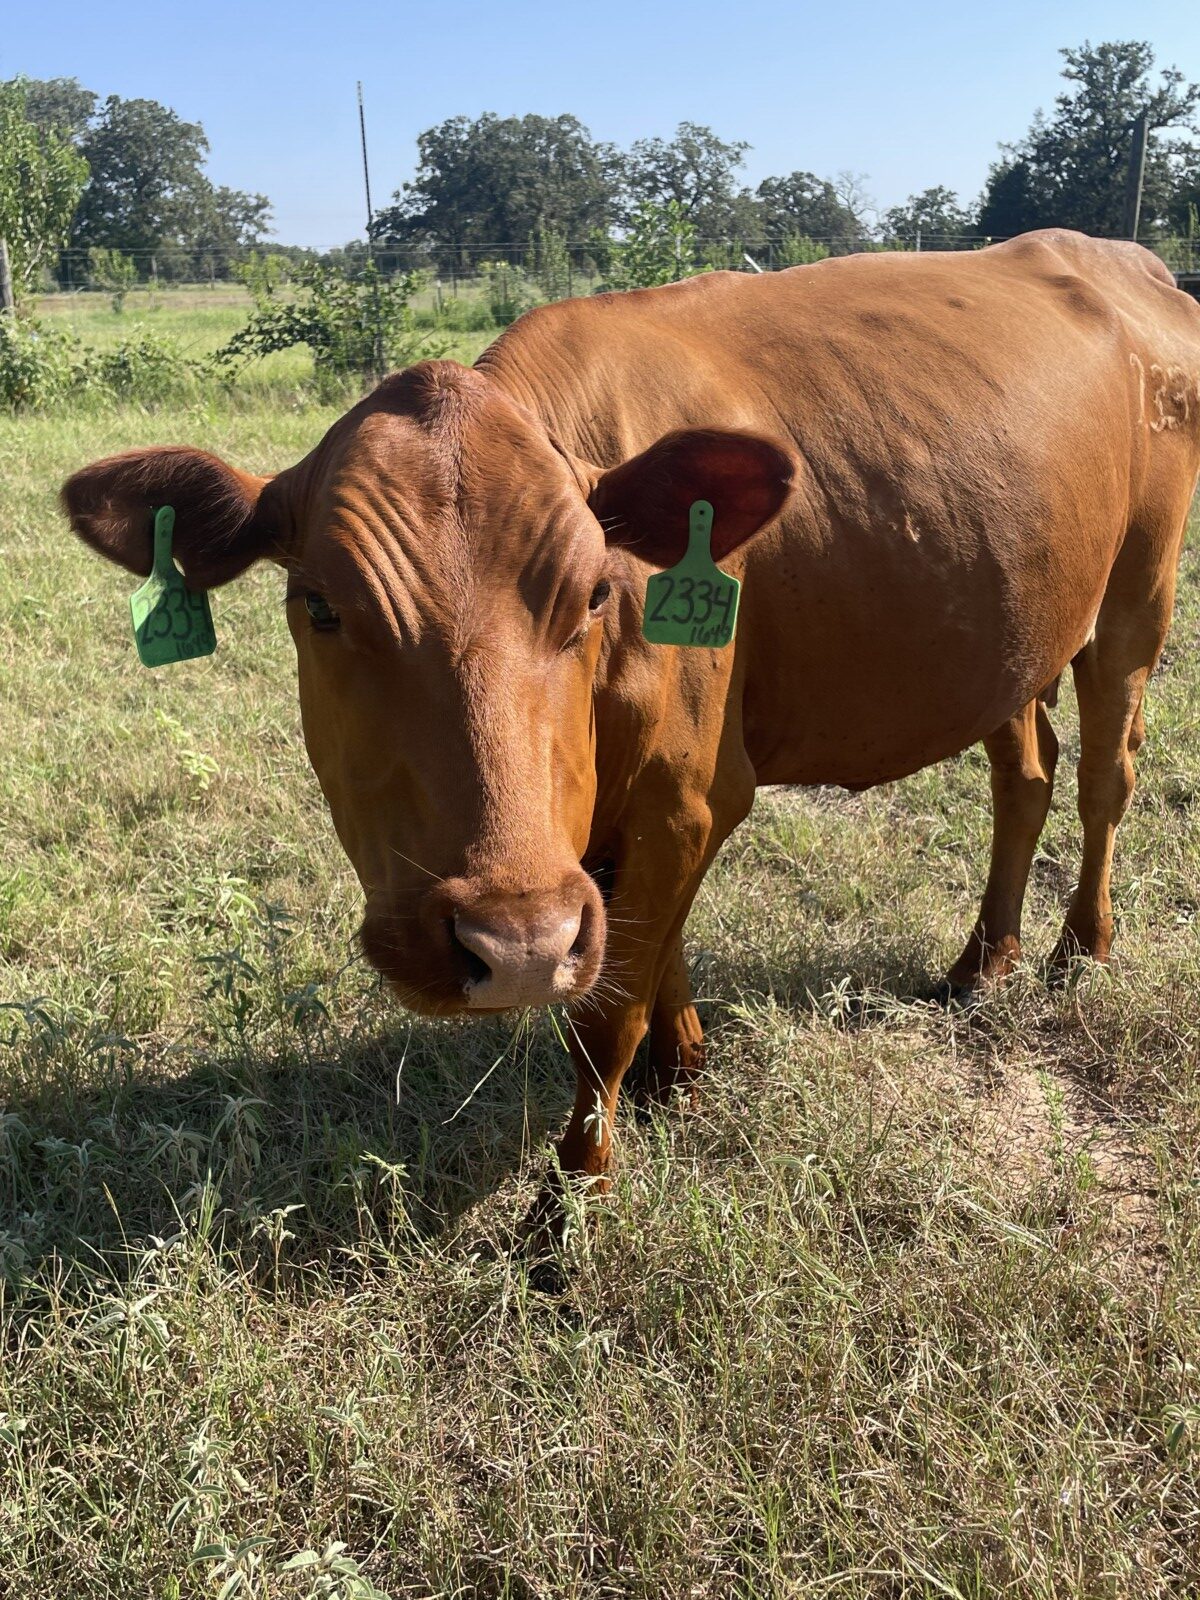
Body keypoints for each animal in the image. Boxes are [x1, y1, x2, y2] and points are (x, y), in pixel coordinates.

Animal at [62, 229, 1200, 1244]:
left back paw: (1080, 947)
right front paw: (678, 1069)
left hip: (1136, 592)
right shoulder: (631, 821)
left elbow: (604, 1008)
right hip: (1009, 626)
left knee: (1106, 773)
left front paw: (571, 1207)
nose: (510, 944)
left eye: (595, 594)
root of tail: (1126, 261)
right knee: (1027, 771)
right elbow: (647, 946)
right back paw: (981, 962)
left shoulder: (688, 794)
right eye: (319, 605)